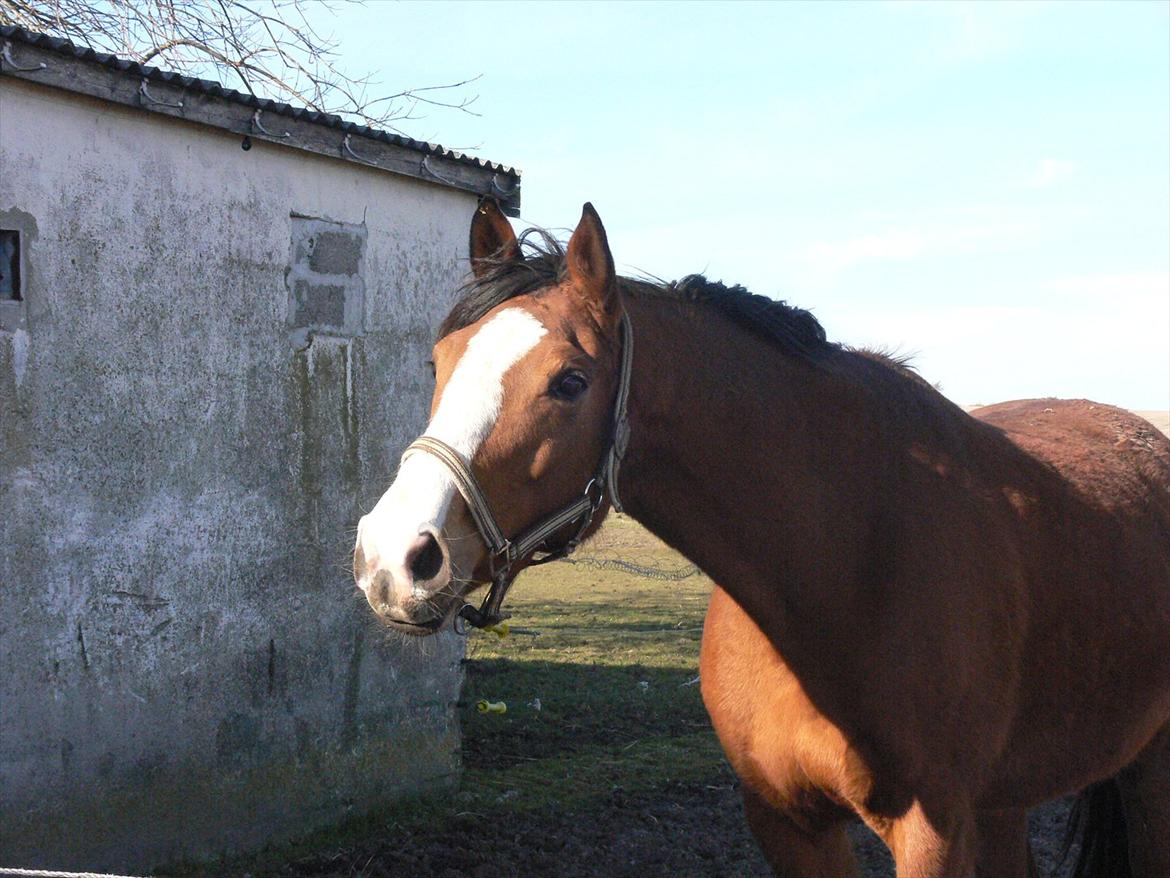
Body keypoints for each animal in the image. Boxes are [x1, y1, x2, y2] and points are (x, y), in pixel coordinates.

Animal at [353, 201, 1170, 878]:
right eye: (439, 362)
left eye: (570, 382)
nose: (394, 559)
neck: (844, 564)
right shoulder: (789, 825)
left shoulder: (934, 832)